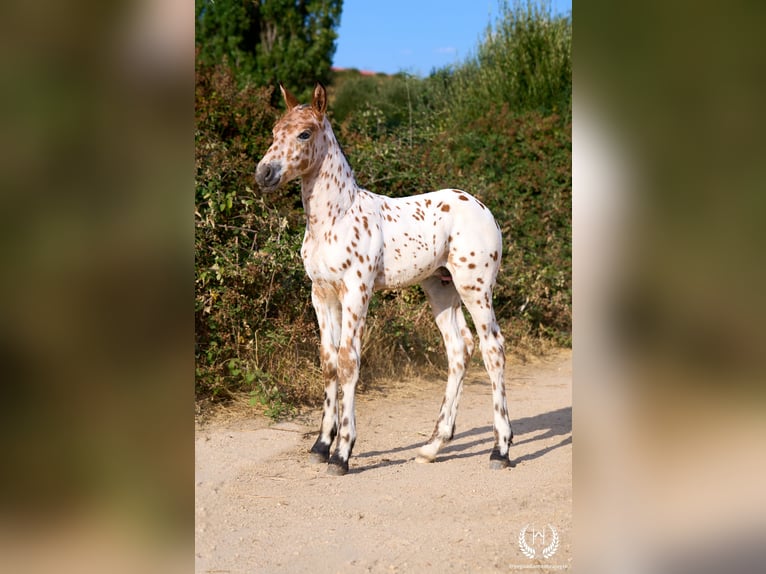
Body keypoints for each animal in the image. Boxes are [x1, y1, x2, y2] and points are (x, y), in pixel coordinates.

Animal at [255, 83, 513, 475]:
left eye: (304, 133)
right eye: (273, 132)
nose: (264, 173)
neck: (335, 218)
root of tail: (484, 210)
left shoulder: (356, 291)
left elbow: (349, 362)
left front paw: (342, 453)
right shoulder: (322, 294)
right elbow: (328, 361)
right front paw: (321, 444)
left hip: (476, 288)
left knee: (493, 349)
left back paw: (501, 450)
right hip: (441, 288)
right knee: (459, 349)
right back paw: (433, 446)